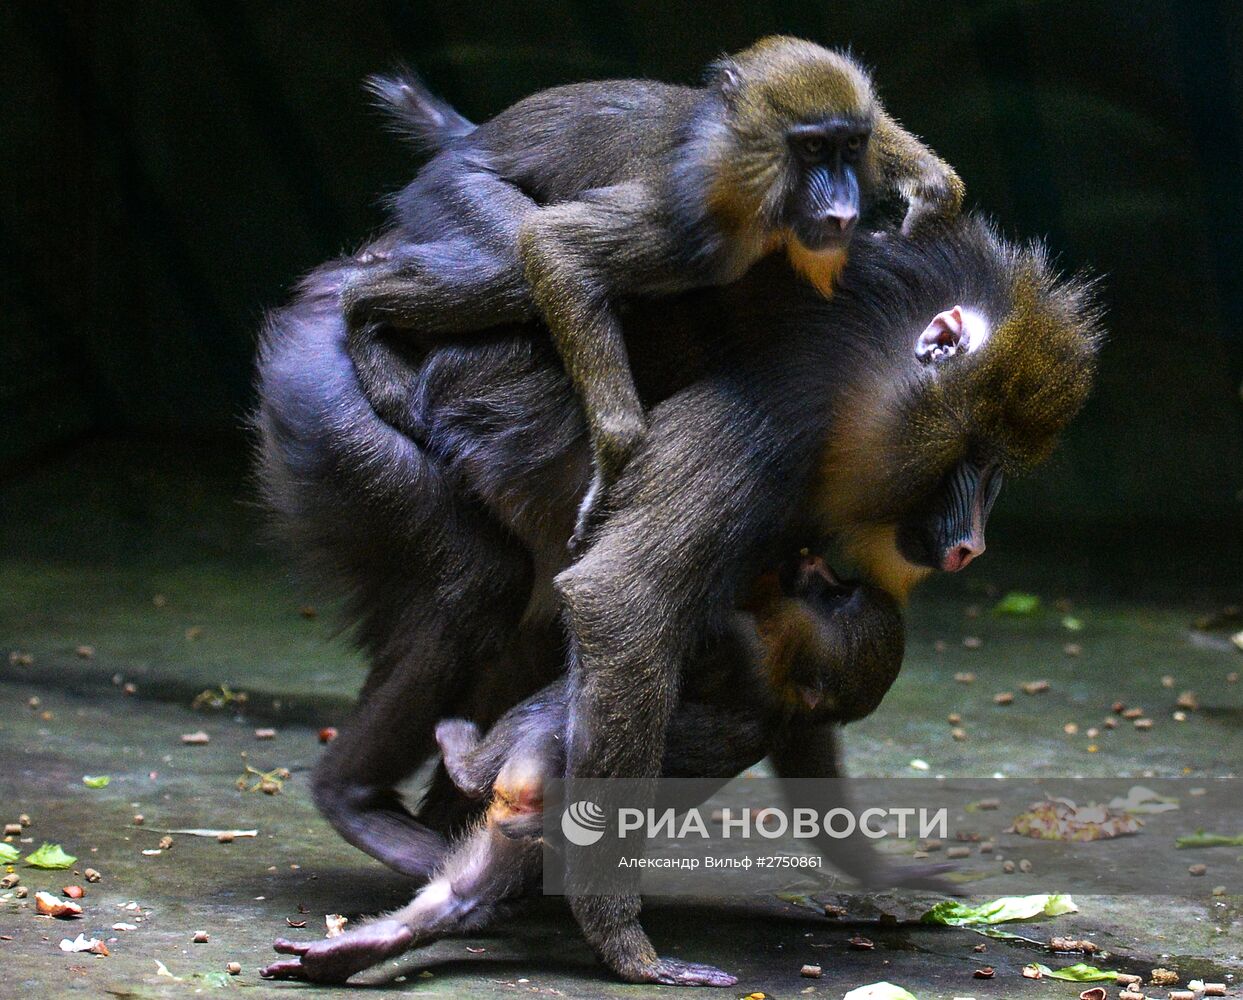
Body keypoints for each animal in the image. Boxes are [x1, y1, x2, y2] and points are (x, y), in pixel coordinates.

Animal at [262, 559, 904, 988]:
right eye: (839, 591)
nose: (823, 571)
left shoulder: (750, 651)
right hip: (530, 842)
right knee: (464, 897)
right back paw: (373, 943)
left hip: (532, 773)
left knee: (555, 713)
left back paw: (465, 762)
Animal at [345, 37, 964, 546]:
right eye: (811, 151)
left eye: (852, 145)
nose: (842, 211)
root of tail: (468, 141)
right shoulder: (696, 224)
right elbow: (553, 245)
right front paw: (613, 474)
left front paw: (931, 196)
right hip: (455, 191)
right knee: (509, 269)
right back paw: (363, 305)